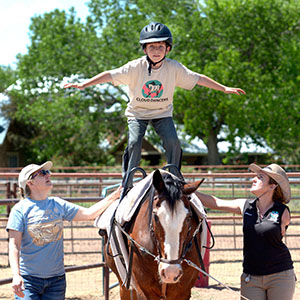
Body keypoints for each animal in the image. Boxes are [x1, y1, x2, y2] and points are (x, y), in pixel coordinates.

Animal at [103, 169, 206, 300]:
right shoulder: (145, 291)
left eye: (188, 218)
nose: (170, 272)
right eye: (156, 216)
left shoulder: (182, 292)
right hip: (124, 283)